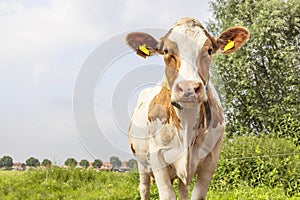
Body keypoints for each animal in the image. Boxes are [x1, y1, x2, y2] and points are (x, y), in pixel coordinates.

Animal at [125, 18, 250, 199]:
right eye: (166, 51)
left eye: (209, 50)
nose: (188, 88)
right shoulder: (157, 157)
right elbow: (167, 195)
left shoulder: (212, 158)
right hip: (142, 163)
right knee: (144, 188)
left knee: (182, 189)